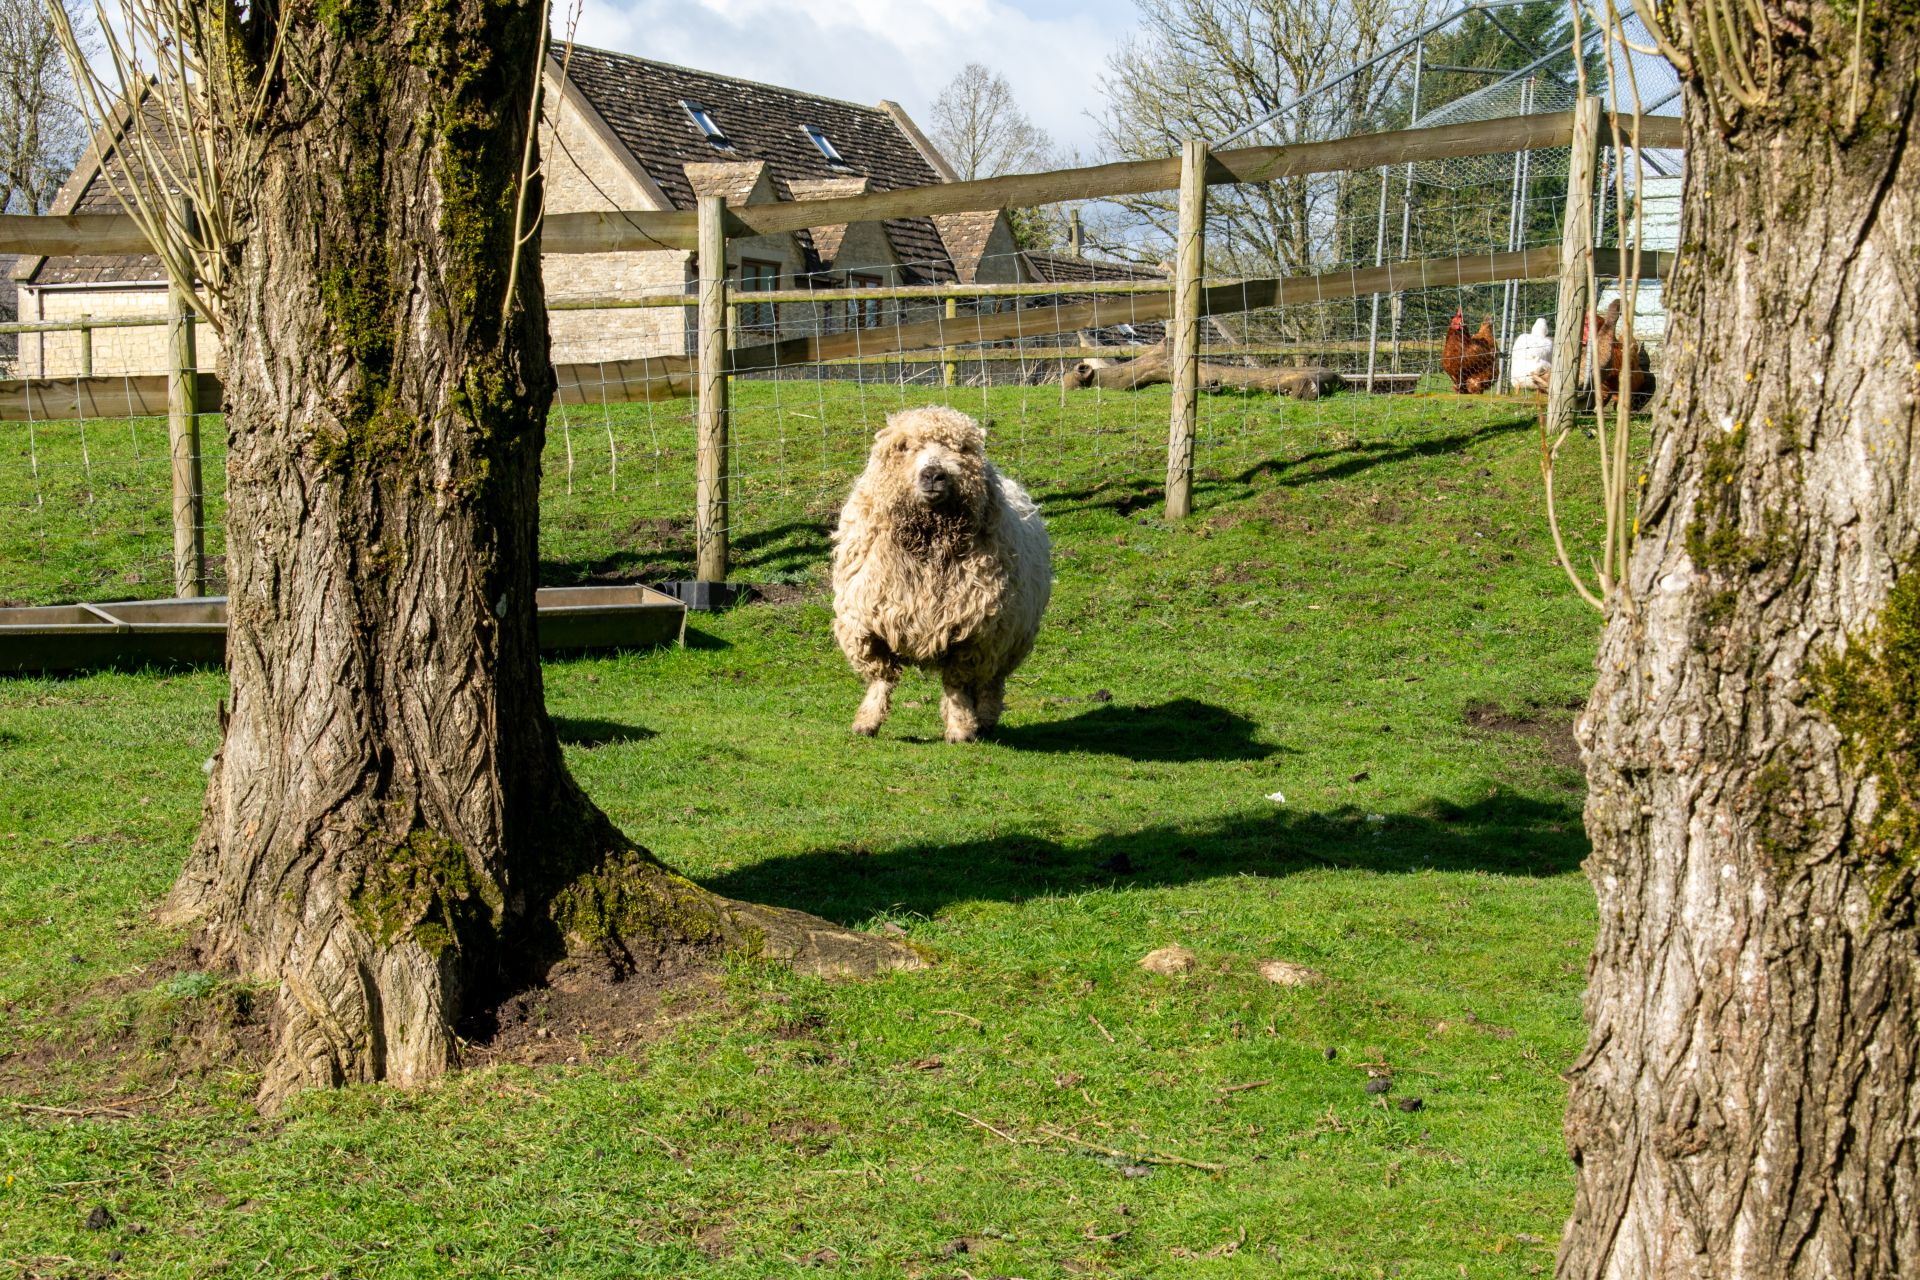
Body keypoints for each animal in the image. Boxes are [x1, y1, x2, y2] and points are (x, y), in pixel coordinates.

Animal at [830, 406, 1051, 743]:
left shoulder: (973, 633)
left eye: (961, 449)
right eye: (904, 447)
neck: (930, 543)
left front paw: (960, 728)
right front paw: (867, 721)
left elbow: (957, 685)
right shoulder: (865, 622)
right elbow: (881, 678)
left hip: (1009, 639)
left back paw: (985, 719)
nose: (933, 474)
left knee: (991, 683)